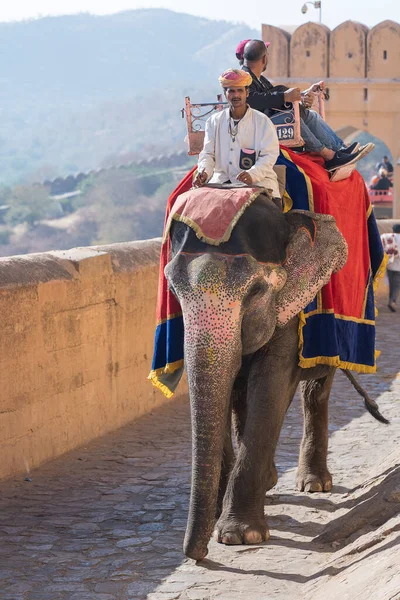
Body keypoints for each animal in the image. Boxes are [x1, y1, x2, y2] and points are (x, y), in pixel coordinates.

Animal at [163, 193, 350, 564]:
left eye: (255, 291)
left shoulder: (289, 307)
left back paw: (313, 483)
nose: (197, 555)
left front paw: (239, 535)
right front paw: (221, 513)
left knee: (316, 389)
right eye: (173, 291)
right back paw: (270, 482)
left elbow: (270, 384)